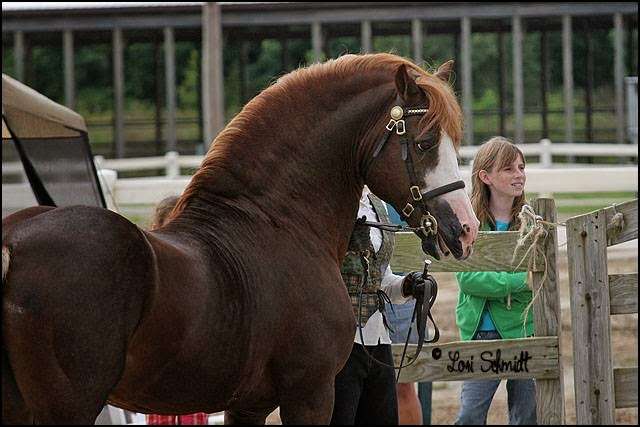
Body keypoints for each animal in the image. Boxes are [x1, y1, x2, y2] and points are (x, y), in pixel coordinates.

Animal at [2, 53, 478, 424]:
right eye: (424, 142)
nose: (466, 228)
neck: (277, 221)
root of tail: (14, 244)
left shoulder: (248, 404)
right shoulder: (310, 393)